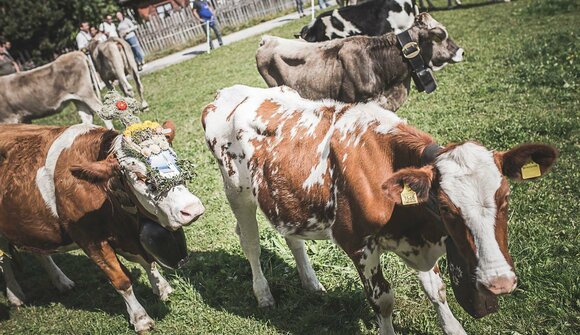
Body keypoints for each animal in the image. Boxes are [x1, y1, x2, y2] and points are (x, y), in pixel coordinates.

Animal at [0, 108, 206, 334]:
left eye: (178, 163)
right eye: (139, 176)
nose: (192, 209)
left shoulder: (130, 236)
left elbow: (148, 262)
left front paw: (161, 287)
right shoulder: (91, 241)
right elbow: (121, 280)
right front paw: (141, 318)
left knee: (38, 252)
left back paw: (61, 281)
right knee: (5, 261)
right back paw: (15, 295)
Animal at [203, 84, 556, 335]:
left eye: (505, 197)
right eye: (446, 207)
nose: (499, 282)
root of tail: (229, 93)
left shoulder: (417, 240)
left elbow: (436, 289)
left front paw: (454, 327)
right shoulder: (357, 244)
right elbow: (383, 299)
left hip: (286, 200)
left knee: (293, 239)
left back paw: (312, 284)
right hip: (237, 194)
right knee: (250, 243)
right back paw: (263, 294)